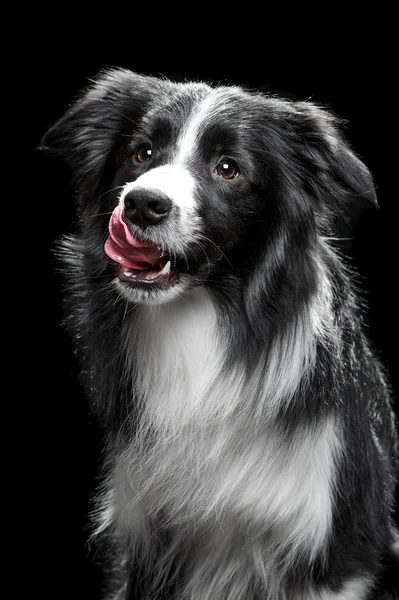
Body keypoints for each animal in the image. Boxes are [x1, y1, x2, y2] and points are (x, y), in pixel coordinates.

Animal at [41, 69, 399, 600]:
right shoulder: (144, 538)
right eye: (142, 153)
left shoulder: (333, 547)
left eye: (228, 169)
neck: (203, 322)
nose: (141, 204)